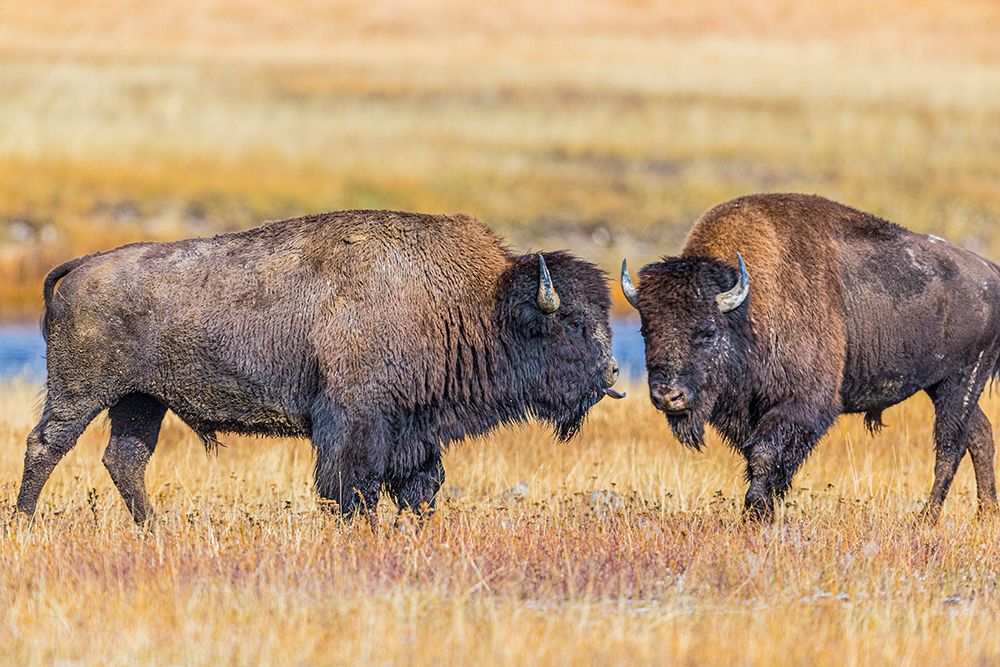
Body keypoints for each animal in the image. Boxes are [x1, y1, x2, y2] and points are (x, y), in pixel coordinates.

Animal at [18, 210, 623, 525]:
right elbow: (351, 486)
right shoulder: (354, 424)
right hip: (83, 391)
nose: (614, 374)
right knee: (46, 446)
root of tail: (79, 267)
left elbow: (420, 485)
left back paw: (153, 528)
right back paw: (24, 521)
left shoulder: (415, 431)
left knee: (125, 460)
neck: (473, 304)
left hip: (141, 401)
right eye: (571, 323)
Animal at [621, 193, 1000, 521]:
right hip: (941, 386)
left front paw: (754, 514)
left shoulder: (800, 405)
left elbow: (766, 456)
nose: (668, 396)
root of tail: (991, 273)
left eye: (708, 332)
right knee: (979, 434)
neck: (748, 310)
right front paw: (765, 511)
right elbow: (760, 460)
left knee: (950, 446)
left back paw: (926, 519)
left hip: (960, 381)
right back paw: (985, 513)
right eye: (645, 331)